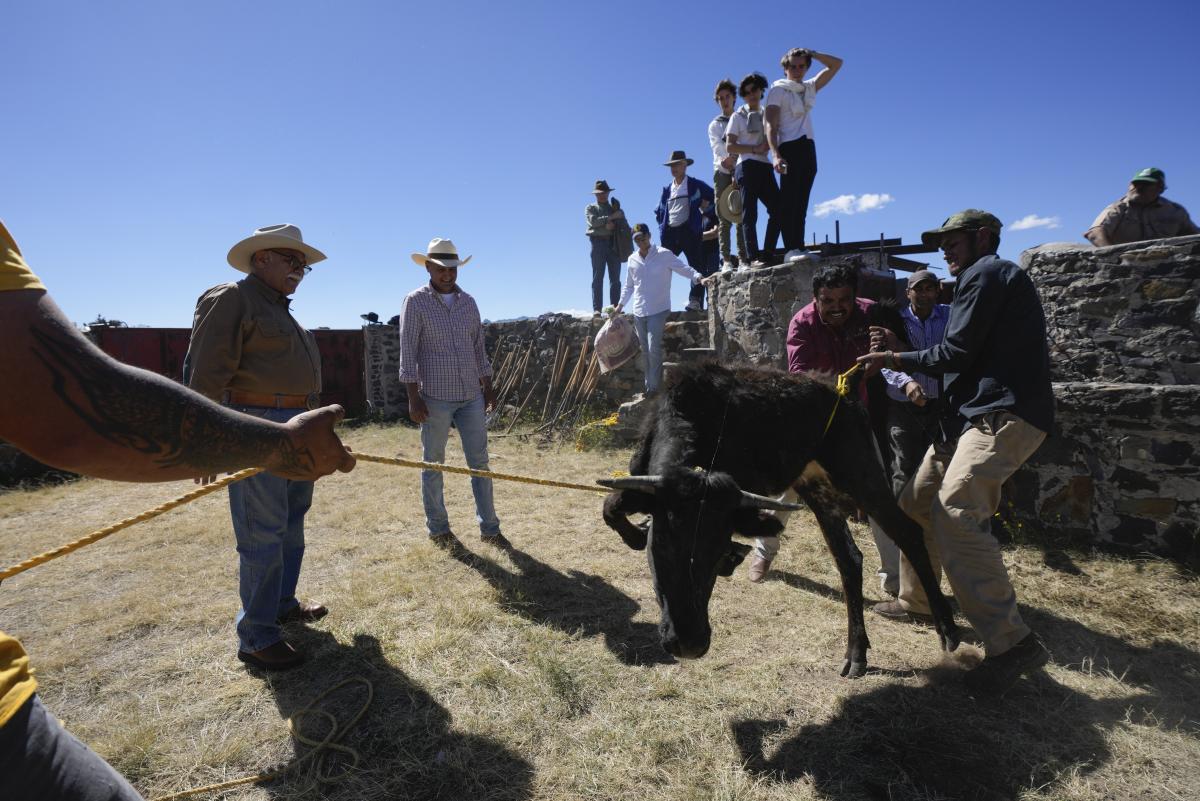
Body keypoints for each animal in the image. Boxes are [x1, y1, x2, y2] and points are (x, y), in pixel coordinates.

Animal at [604, 362, 960, 676]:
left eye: (715, 550)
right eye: (661, 546)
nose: (688, 644)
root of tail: (843, 387)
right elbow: (610, 507)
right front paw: (636, 535)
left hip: (861, 475)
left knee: (907, 532)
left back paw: (947, 629)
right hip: (816, 487)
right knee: (849, 558)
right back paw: (856, 654)